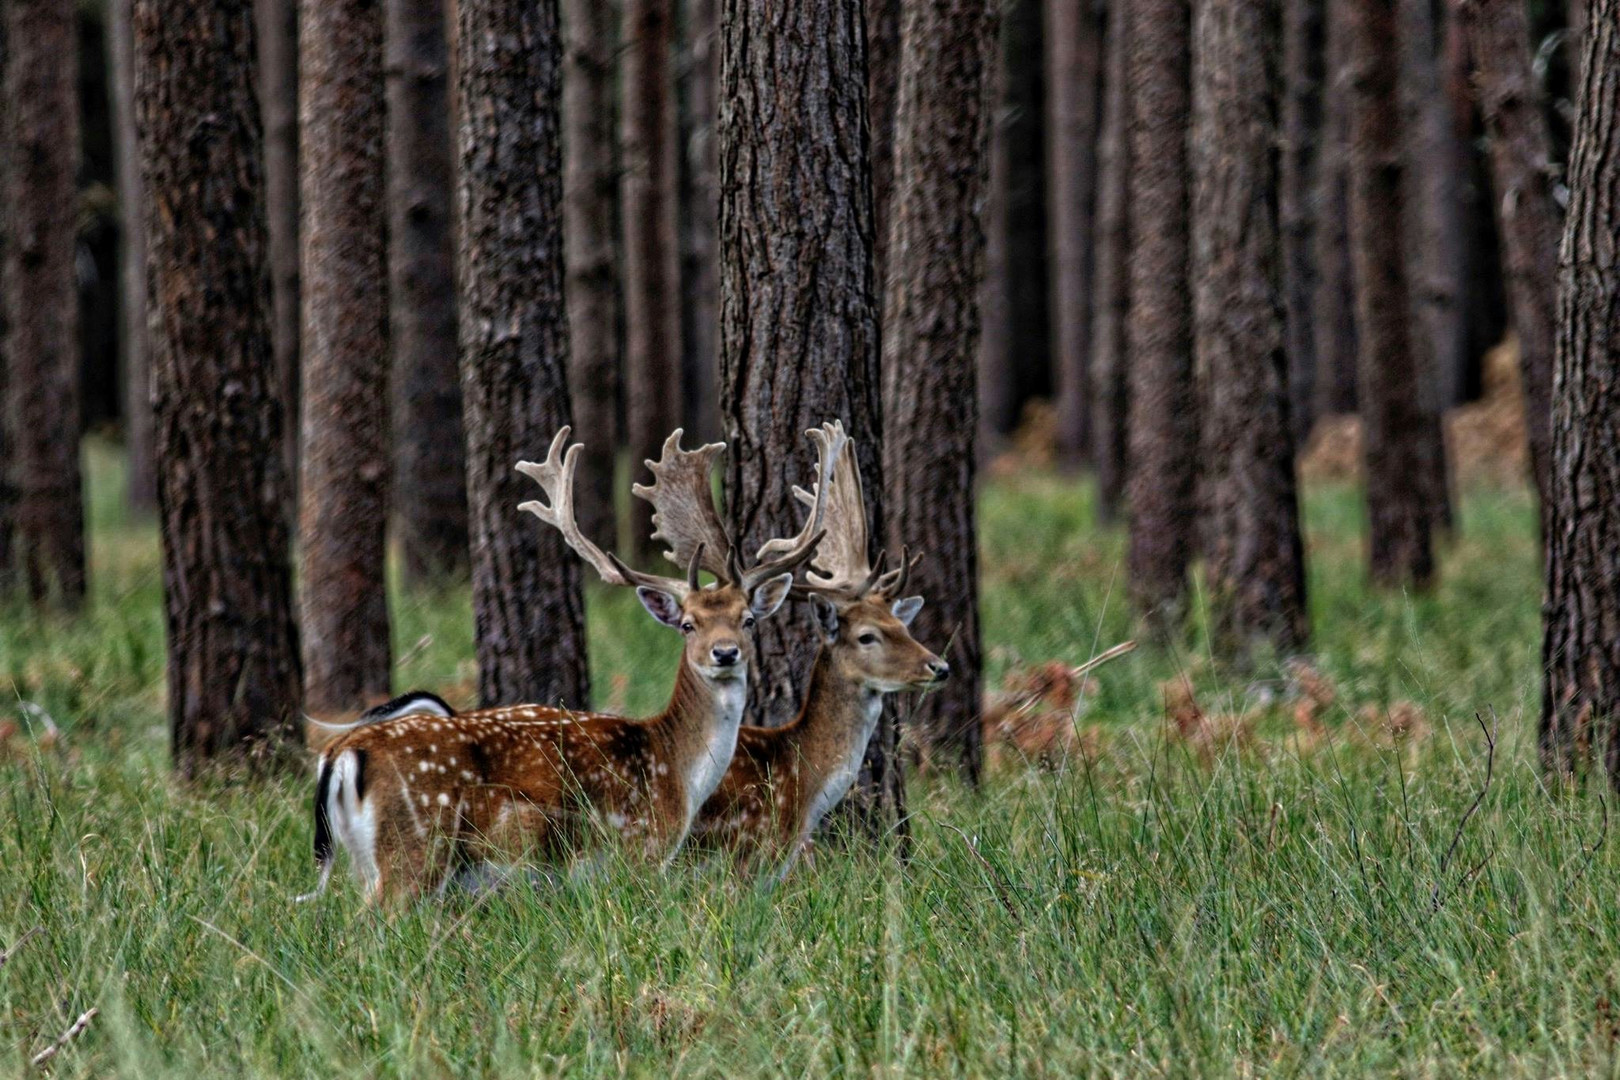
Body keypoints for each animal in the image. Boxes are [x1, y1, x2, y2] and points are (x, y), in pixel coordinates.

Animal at [304, 424, 835, 906]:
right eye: (688, 624)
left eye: (748, 620)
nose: (725, 653)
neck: (677, 771)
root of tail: (343, 750)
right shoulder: (639, 850)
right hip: (415, 844)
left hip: (368, 860)